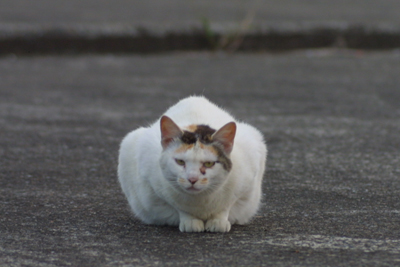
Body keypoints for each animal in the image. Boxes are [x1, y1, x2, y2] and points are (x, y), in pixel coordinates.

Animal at [119, 96, 268, 232]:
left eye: (209, 163)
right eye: (180, 161)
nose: (192, 179)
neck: (200, 202)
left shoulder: (245, 179)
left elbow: (225, 206)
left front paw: (218, 221)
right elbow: (180, 208)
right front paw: (190, 222)